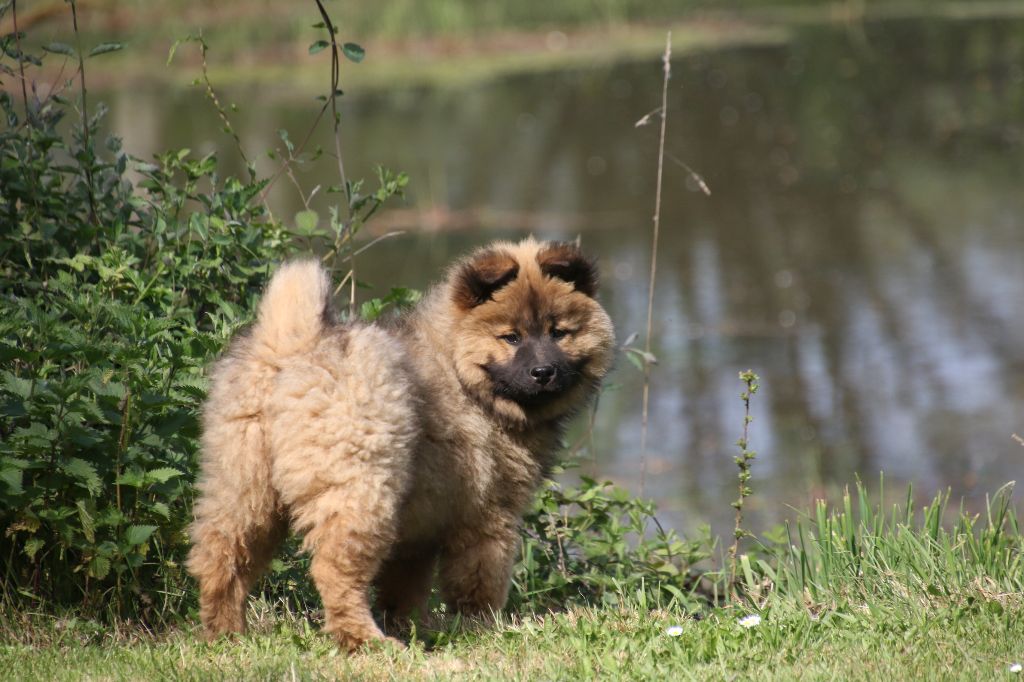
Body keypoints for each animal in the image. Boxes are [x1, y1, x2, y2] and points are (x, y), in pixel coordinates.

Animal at [186, 237, 615, 649]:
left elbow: (405, 588)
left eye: (559, 333)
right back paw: (366, 641)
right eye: (511, 337)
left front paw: (414, 627)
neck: (461, 372)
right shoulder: (488, 513)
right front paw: (480, 627)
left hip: (243, 484)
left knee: (221, 557)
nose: (543, 372)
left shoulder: (420, 528)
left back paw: (225, 634)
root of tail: (292, 346)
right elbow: (479, 580)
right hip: (361, 489)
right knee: (334, 571)